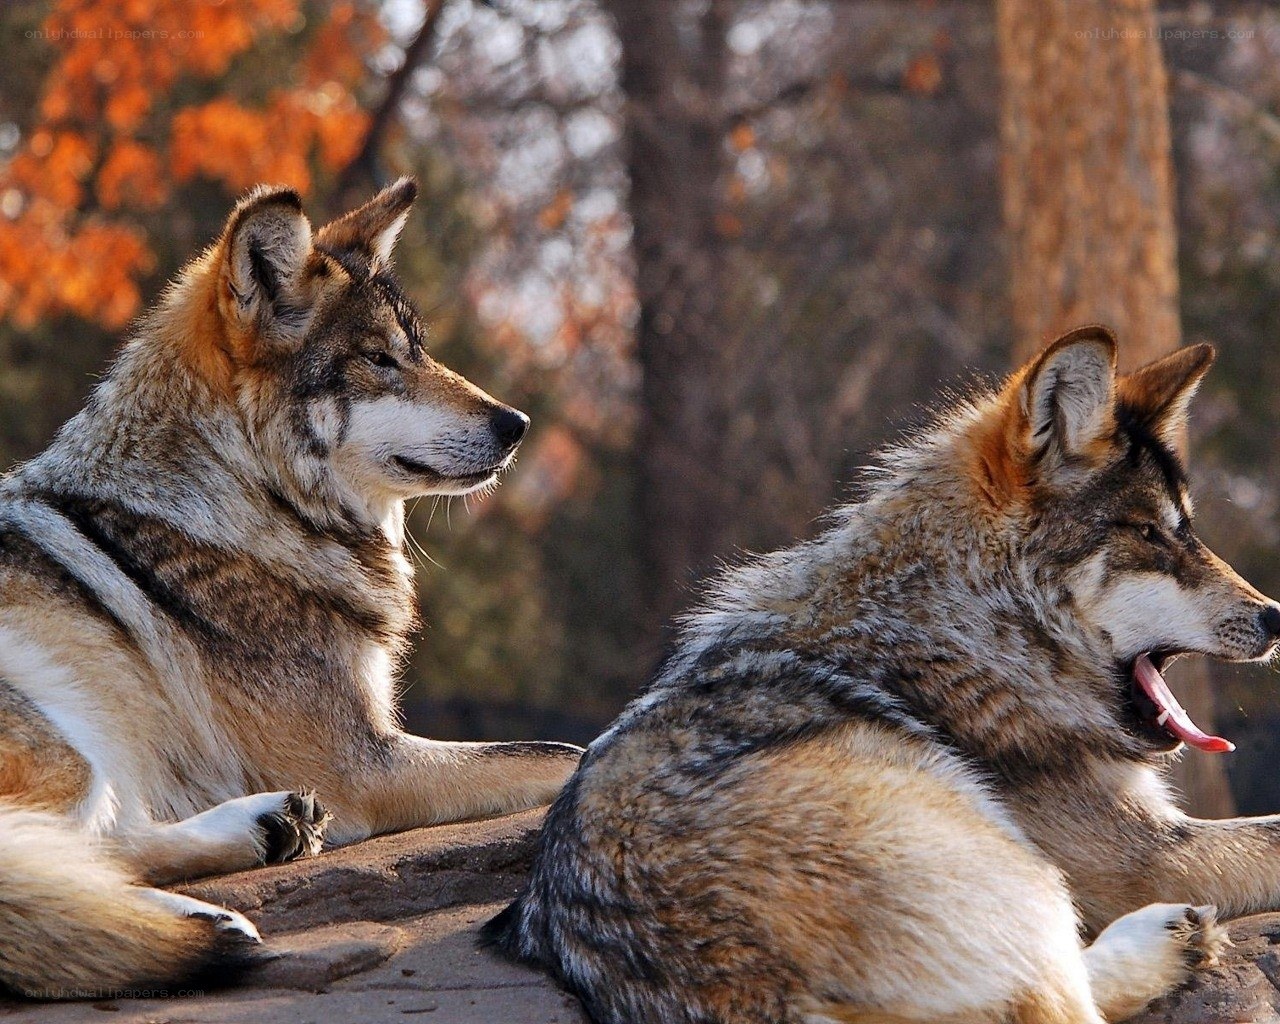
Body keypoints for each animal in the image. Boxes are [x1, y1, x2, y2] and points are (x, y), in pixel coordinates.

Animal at [0, 178, 582, 998]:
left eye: (419, 351)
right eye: (380, 361)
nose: (517, 423)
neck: (245, 500)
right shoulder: (363, 765)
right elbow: (565, 753)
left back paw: (257, 842)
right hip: (67, 741)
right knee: (47, 862)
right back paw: (201, 916)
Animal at [486, 326, 1280, 1024]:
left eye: (1188, 530)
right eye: (1149, 534)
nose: (1275, 616)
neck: (966, 624)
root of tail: (757, 995)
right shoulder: (1155, 857)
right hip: (1022, 871)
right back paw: (1168, 941)